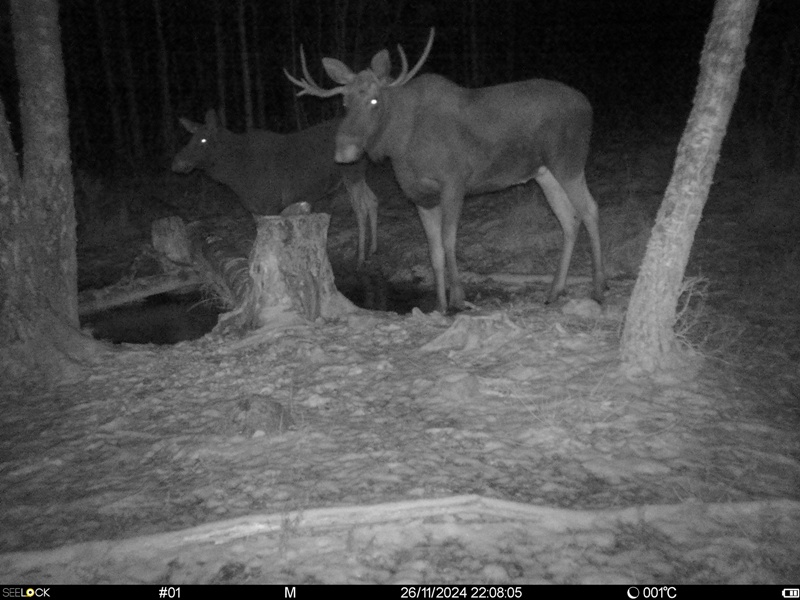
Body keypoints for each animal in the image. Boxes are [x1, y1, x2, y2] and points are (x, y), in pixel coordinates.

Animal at [172, 109, 379, 267]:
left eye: (204, 140)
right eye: (190, 139)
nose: (177, 163)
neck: (235, 175)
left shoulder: (270, 205)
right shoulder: (256, 209)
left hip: (351, 173)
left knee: (361, 208)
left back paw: (361, 257)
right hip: (357, 175)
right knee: (373, 200)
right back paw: (373, 249)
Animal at [285, 28, 606, 314]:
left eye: (374, 100)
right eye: (344, 101)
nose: (343, 151)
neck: (402, 144)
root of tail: (589, 105)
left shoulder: (454, 182)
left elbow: (450, 241)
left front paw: (458, 299)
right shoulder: (421, 196)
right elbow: (435, 251)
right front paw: (439, 305)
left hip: (568, 162)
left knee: (589, 209)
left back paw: (599, 289)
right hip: (544, 172)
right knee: (569, 218)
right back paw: (555, 291)